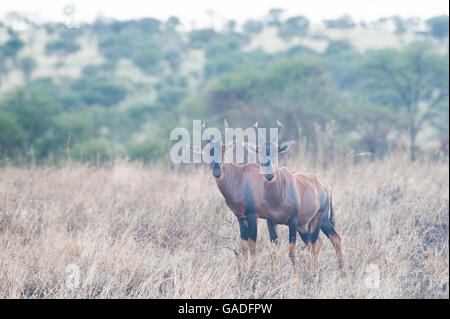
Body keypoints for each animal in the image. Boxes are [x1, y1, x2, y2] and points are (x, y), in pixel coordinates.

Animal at [244, 121, 346, 278]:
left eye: (277, 151)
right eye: (258, 152)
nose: (269, 175)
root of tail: (324, 185)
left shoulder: (292, 222)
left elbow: (292, 252)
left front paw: (295, 280)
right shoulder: (271, 222)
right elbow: (273, 250)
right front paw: (273, 277)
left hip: (319, 219)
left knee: (323, 241)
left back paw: (329, 273)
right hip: (303, 225)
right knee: (317, 242)